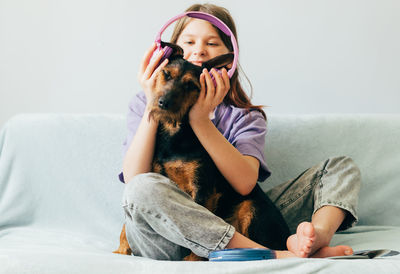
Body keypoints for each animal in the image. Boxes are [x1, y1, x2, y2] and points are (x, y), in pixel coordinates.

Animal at [115, 42, 290, 260]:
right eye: (166, 74)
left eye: (191, 85)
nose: (163, 103)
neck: (174, 134)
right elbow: (124, 224)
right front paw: (121, 249)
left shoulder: (202, 188)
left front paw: (192, 260)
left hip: (251, 208)